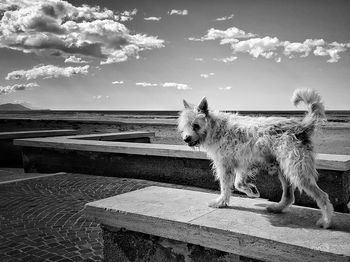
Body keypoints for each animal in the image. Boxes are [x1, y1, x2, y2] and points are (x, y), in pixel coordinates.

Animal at [179, 88, 334, 227]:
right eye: (184, 126)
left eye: (195, 125)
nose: (186, 139)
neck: (215, 128)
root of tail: (300, 125)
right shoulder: (243, 163)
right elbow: (238, 183)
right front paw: (252, 191)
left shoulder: (225, 165)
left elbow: (226, 186)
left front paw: (221, 202)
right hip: (283, 167)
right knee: (289, 195)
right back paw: (277, 208)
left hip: (296, 169)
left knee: (322, 196)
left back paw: (326, 221)